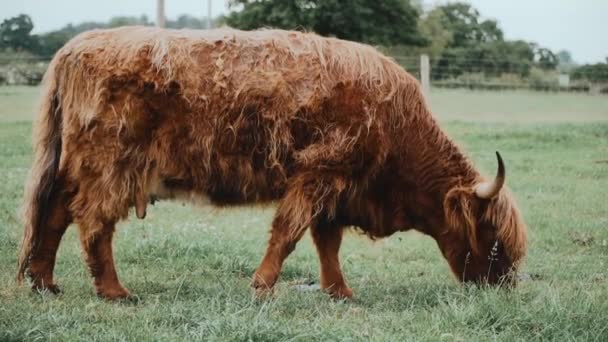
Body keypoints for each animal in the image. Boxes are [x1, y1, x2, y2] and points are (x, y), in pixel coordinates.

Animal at [16, 26, 524, 300]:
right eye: (493, 239)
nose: (505, 287)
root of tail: (74, 48)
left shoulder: (335, 188)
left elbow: (326, 241)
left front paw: (340, 292)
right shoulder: (320, 173)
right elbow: (290, 233)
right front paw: (262, 285)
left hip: (79, 167)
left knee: (55, 213)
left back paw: (44, 282)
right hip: (112, 167)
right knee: (93, 222)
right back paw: (115, 292)